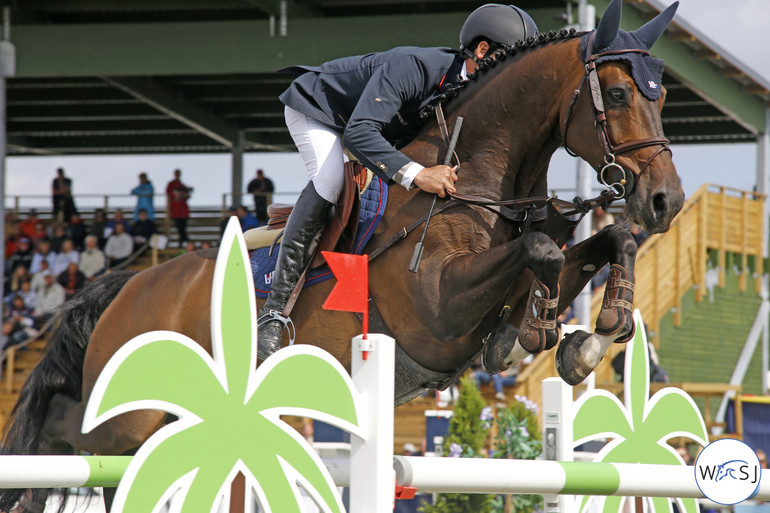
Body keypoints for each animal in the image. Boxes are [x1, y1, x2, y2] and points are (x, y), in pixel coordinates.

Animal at [0, 2, 684, 510]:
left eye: (661, 96)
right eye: (617, 95)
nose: (666, 201)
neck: (479, 176)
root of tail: (128, 286)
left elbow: (603, 244)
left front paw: (586, 338)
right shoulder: (437, 313)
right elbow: (540, 249)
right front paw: (541, 330)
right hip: (129, 419)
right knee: (74, 439)